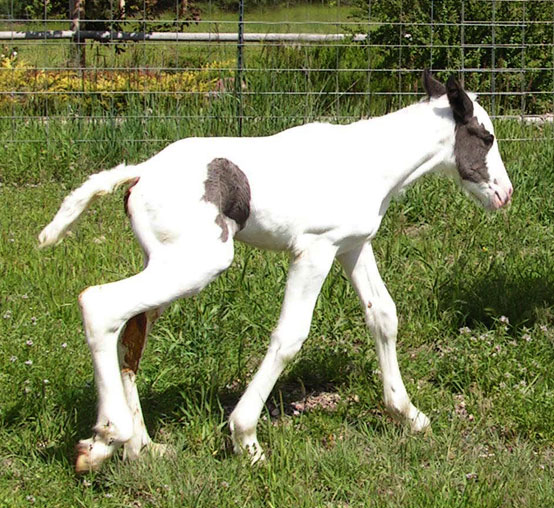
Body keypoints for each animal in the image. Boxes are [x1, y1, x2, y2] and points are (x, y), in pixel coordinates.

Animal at [40, 72, 512, 472]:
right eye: (486, 136)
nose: (505, 194)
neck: (367, 161)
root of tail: (139, 174)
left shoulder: (353, 245)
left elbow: (383, 315)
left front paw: (408, 414)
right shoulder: (314, 250)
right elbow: (290, 336)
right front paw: (245, 438)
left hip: (167, 264)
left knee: (131, 333)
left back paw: (138, 445)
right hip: (200, 263)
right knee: (100, 304)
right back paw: (107, 438)